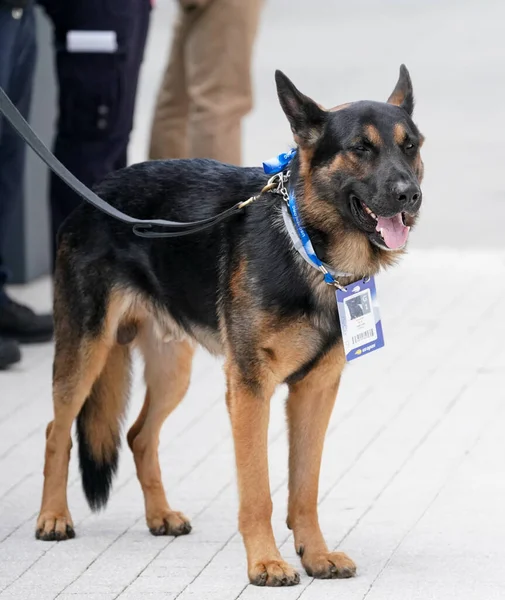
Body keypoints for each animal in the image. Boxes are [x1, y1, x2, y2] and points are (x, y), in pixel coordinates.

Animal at [34, 65, 422, 584]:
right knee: (56, 431)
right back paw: (53, 516)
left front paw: (315, 554)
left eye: (410, 146)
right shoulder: (249, 392)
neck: (307, 248)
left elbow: (305, 489)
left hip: (172, 372)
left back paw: (160, 515)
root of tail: (95, 192)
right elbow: (258, 490)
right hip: (86, 353)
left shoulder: (315, 393)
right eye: (361, 148)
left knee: (139, 436)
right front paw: (266, 562)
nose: (409, 195)